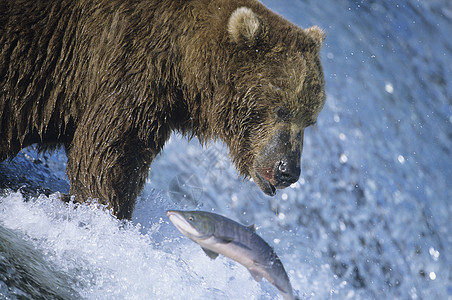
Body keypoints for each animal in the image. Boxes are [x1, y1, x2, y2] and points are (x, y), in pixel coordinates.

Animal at [0, 0, 324, 218]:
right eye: (281, 109)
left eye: (309, 120)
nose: (288, 170)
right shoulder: (130, 60)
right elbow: (110, 150)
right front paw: (104, 209)